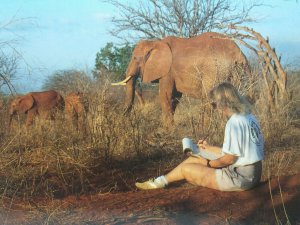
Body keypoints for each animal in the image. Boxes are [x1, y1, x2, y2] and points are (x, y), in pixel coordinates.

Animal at [112, 31, 248, 125]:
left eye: (135, 58)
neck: (156, 43)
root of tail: (239, 54)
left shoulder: (168, 71)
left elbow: (166, 95)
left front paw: (168, 130)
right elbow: (175, 98)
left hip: (216, 70)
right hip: (240, 72)